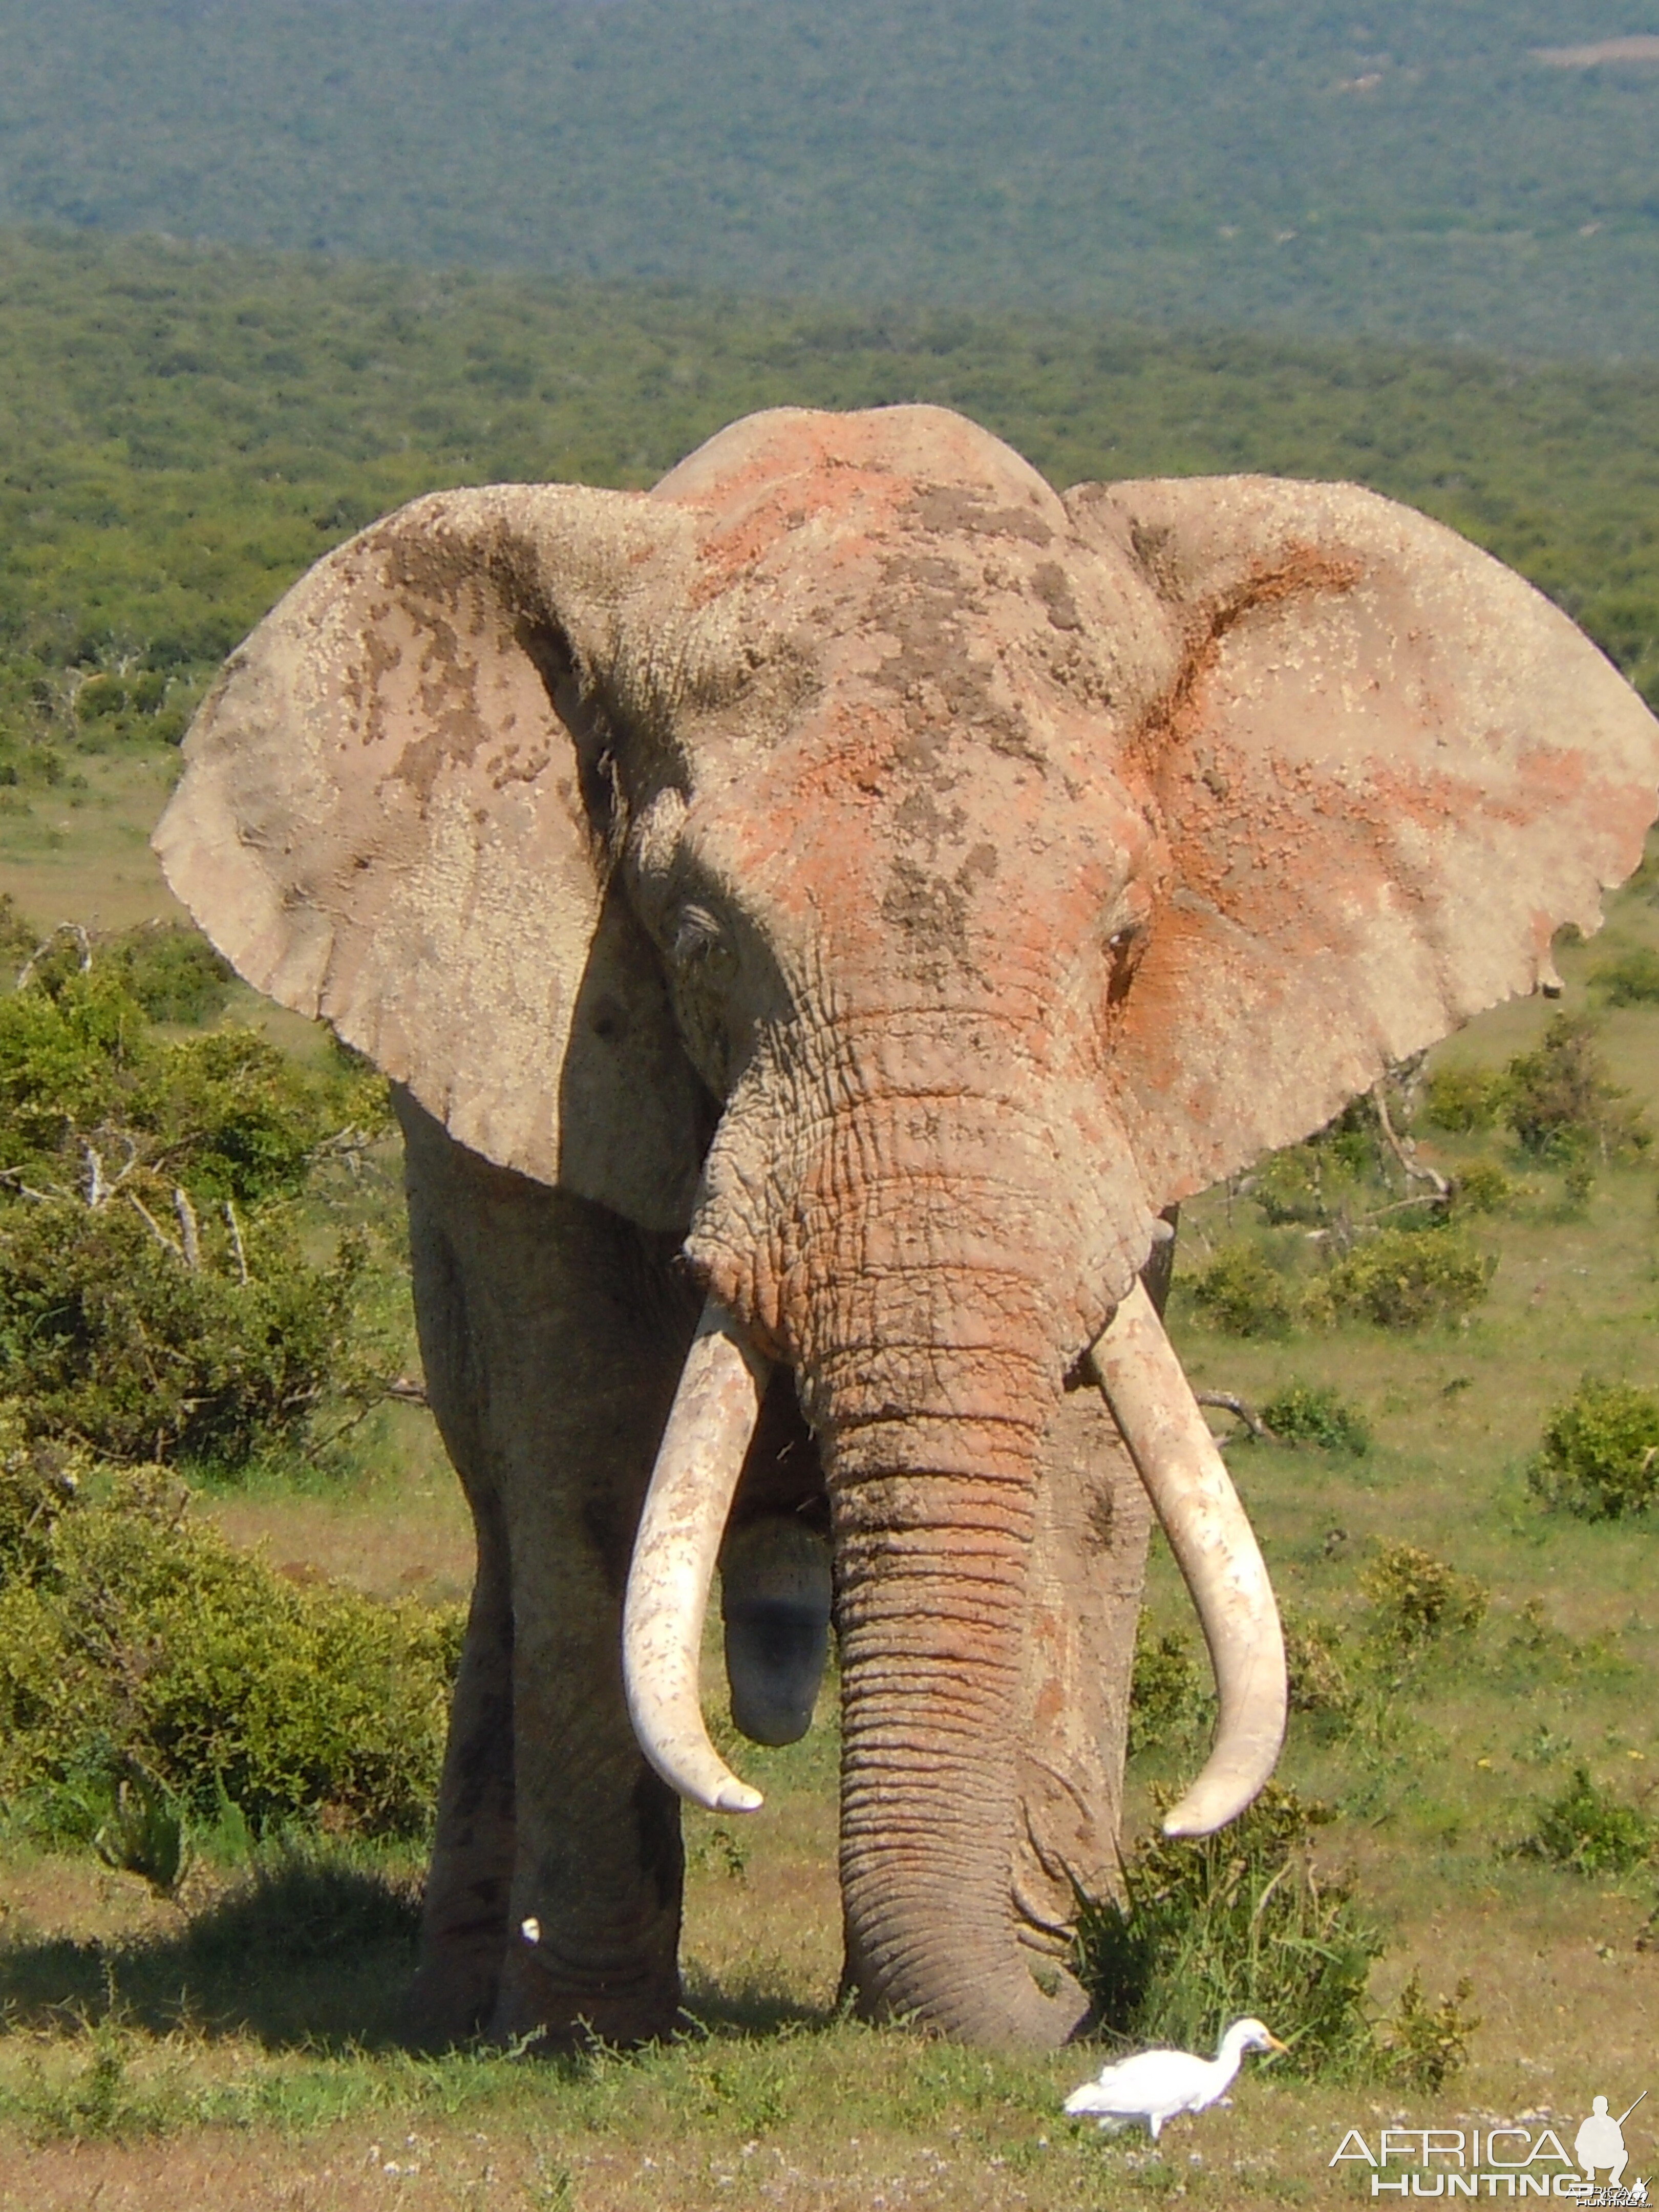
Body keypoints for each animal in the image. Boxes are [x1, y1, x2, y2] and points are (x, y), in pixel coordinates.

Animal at [153, 407, 1659, 2044]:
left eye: (1124, 941)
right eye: (694, 943)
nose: (1090, 2004)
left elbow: (1086, 1461)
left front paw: (1034, 1967)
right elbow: (590, 1461)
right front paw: (590, 2034)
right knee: (511, 1526)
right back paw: (455, 2014)